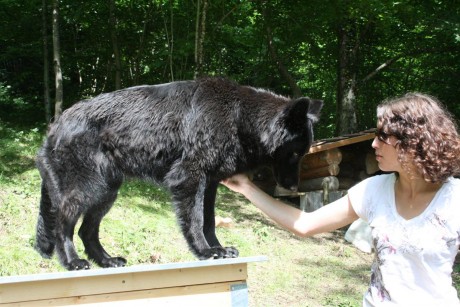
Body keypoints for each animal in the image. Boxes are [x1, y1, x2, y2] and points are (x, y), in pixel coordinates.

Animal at [35, 78, 324, 270]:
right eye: (295, 153)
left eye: (303, 153)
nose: (292, 187)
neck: (238, 116)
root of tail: (55, 126)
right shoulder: (189, 178)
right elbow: (195, 220)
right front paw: (205, 251)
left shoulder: (210, 183)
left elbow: (209, 220)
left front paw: (217, 247)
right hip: (88, 187)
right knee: (62, 222)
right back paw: (73, 261)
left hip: (106, 191)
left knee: (87, 231)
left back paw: (106, 260)